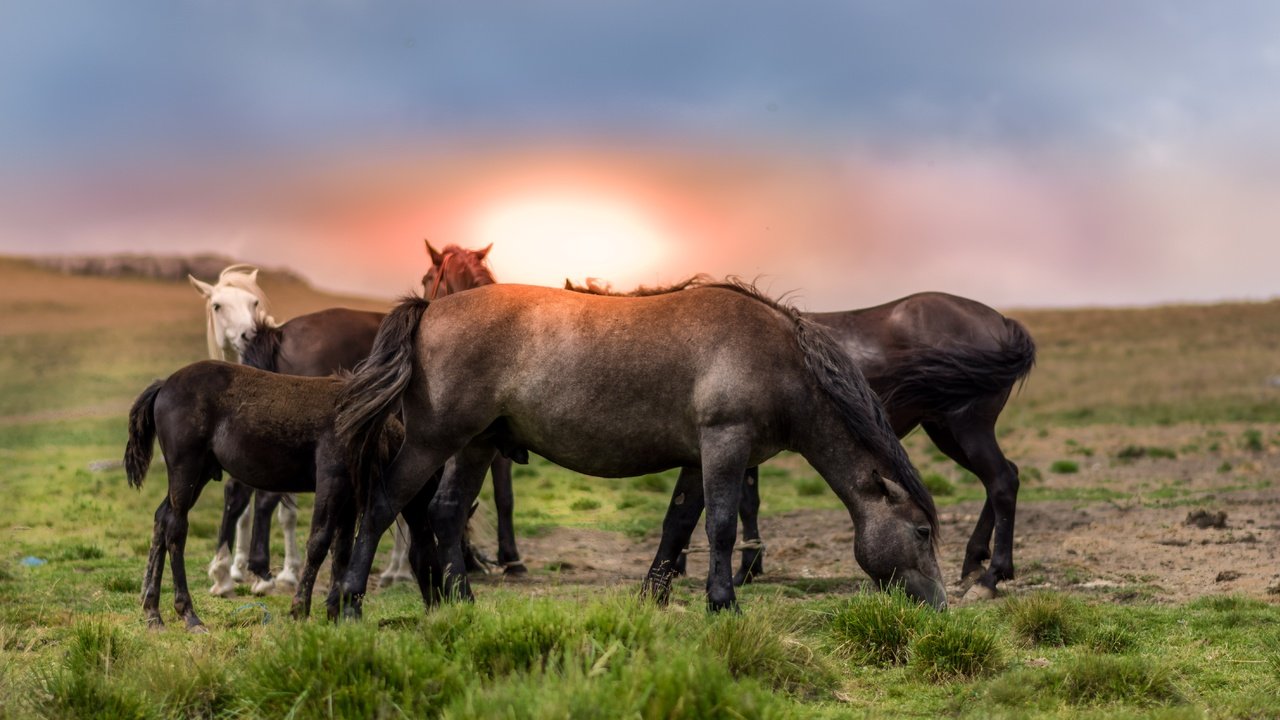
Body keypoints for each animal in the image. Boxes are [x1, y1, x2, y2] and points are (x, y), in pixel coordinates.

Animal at [122, 358, 399, 627]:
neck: (360, 417)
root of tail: (164, 384)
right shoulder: (331, 480)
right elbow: (319, 542)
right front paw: (300, 609)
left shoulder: (350, 493)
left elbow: (341, 550)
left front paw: (338, 614)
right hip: (186, 471)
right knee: (175, 528)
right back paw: (188, 614)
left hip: (200, 475)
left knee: (161, 518)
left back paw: (152, 612)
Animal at [335, 280, 947, 617]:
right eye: (921, 532)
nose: (941, 606)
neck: (777, 359)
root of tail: (428, 309)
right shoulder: (725, 444)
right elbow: (721, 527)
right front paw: (724, 604)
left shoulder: (700, 459)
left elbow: (678, 525)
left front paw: (655, 598)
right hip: (434, 441)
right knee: (384, 504)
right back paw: (347, 603)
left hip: (477, 445)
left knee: (445, 511)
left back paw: (461, 602)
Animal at [570, 280, 1039, 594]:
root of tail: (1002, 321)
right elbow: (743, 502)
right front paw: (745, 566)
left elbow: (739, 505)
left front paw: (743, 569)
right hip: (946, 431)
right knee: (1004, 477)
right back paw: (974, 561)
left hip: (965, 427)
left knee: (1001, 481)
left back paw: (993, 574)